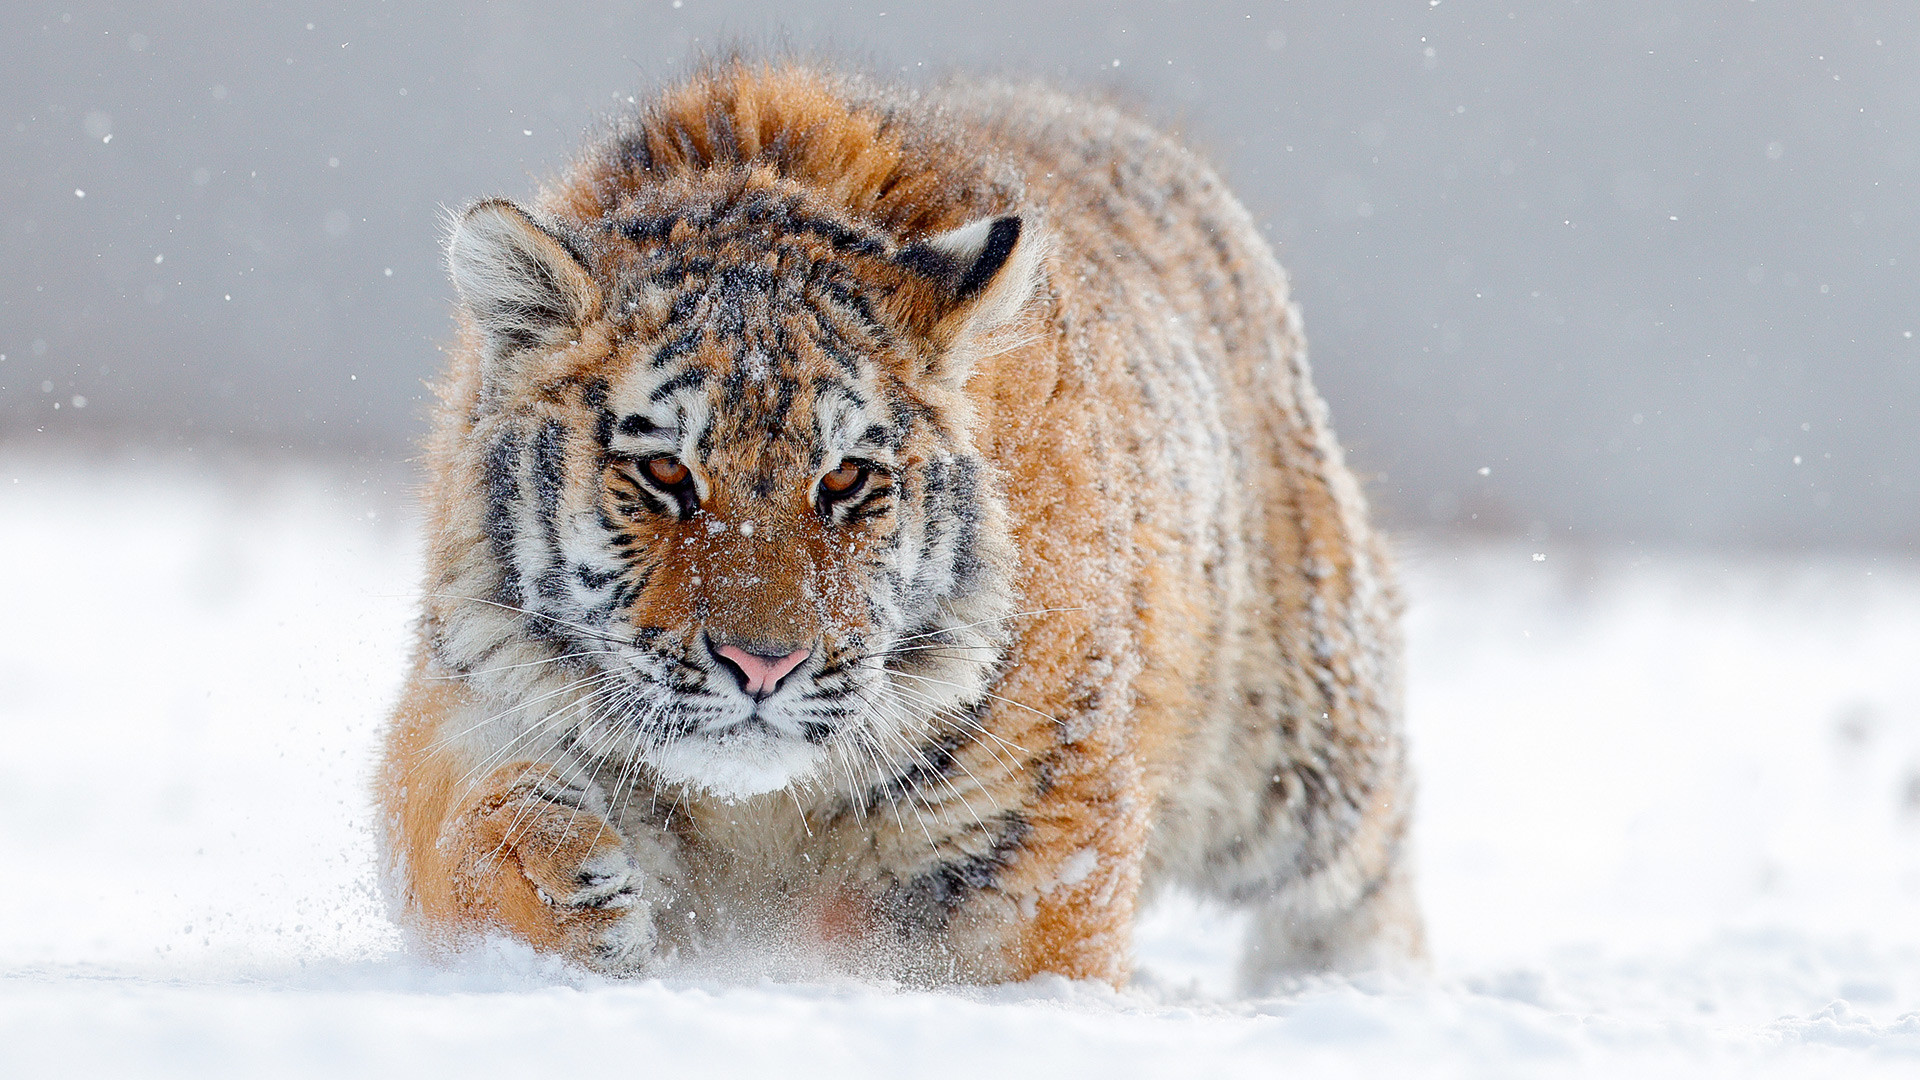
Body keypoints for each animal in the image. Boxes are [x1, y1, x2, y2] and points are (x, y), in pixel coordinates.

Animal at [378, 56, 1428, 983]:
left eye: (845, 478)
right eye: (666, 471)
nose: (763, 666)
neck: (755, 811)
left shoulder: (1036, 842)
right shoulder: (472, 694)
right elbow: (465, 825)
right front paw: (567, 884)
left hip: (1301, 743)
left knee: (1372, 869)